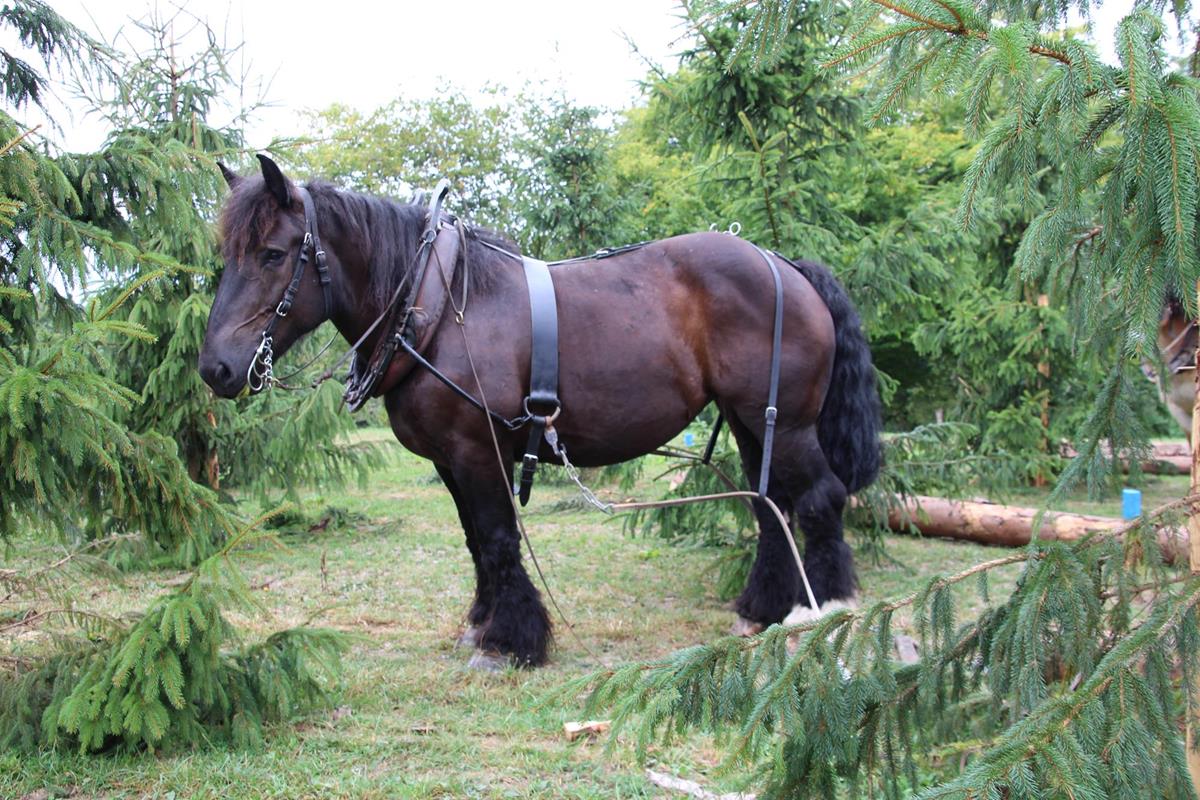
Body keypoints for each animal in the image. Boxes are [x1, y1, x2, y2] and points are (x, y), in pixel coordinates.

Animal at [199, 154, 883, 662]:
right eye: (226, 256)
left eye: (273, 254)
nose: (215, 369)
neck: (437, 307)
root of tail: (783, 265)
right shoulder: (450, 461)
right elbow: (476, 540)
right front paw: (482, 621)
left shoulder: (478, 451)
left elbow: (500, 538)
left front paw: (509, 639)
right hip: (749, 421)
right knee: (770, 506)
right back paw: (761, 609)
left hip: (787, 424)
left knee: (818, 498)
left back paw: (824, 608)